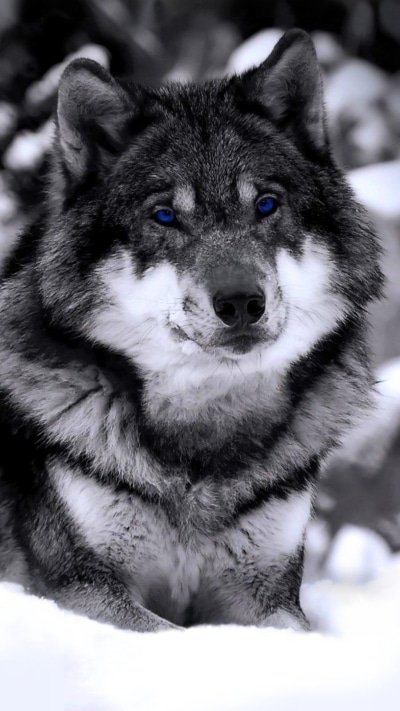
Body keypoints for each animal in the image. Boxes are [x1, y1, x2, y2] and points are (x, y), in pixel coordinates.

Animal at [0, 29, 382, 632]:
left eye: (266, 205)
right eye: (164, 216)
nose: (242, 302)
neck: (204, 437)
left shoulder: (267, 595)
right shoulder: (80, 588)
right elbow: (166, 634)